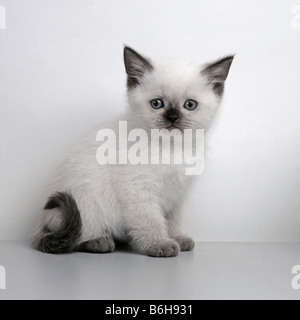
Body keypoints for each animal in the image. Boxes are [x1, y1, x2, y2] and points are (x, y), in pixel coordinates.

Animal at [32, 46, 234, 258]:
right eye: (156, 104)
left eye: (190, 105)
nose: (172, 117)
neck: (171, 147)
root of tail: (40, 224)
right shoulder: (137, 190)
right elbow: (151, 221)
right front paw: (160, 244)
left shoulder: (176, 194)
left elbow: (172, 220)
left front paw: (177, 237)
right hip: (86, 201)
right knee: (79, 233)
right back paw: (99, 241)